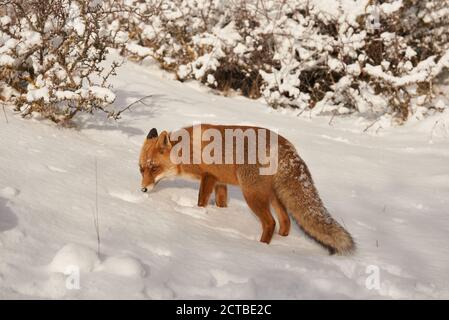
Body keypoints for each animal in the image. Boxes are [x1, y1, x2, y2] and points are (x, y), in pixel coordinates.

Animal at [138, 124, 356, 255]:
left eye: (154, 168)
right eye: (141, 168)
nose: (143, 190)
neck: (185, 151)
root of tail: (288, 147)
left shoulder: (209, 177)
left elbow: (201, 201)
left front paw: (198, 214)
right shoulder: (220, 182)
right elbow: (221, 203)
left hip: (252, 195)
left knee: (270, 223)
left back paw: (259, 247)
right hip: (273, 196)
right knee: (285, 222)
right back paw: (281, 242)